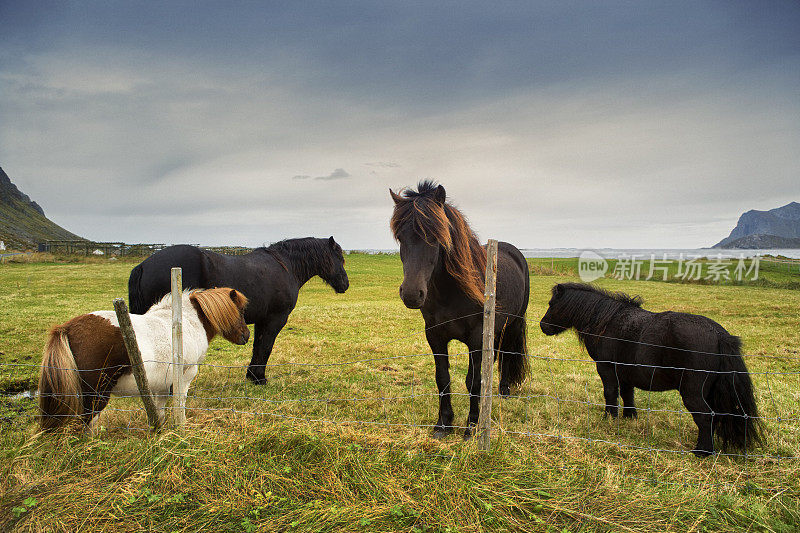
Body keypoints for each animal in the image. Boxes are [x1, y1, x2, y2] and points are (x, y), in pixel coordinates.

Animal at [37, 286, 248, 428]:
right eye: (240, 310)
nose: (246, 336)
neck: (187, 322)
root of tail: (67, 328)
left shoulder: (162, 384)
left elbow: (160, 411)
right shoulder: (184, 377)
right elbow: (180, 404)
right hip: (96, 396)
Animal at [128, 237, 346, 382]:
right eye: (340, 259)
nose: (345, 284)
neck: (286, 266)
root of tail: (143, 266)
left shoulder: (261, 320)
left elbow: (258, 346)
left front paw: (252, 376)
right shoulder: (275, 319)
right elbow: (266, 347)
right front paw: (259, 378)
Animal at [390, 181, 528, 438]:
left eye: (436, 236)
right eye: (400, 237)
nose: (412, 294)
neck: (450, 292)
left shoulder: (476, 337)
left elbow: (473, 381)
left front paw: (472, 426)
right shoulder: (435, 336)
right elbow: (443, 378)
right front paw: (443, 424)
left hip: (511, 325)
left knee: (506, 354)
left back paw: (503, 390)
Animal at [536, 282, 764, 458]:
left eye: (551, 304)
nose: (542, 326)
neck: (606, 322)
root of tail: (719, 335)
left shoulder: (606, 368)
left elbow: (610, 393)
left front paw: (609, 418)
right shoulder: (625, 372)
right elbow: (627, 394)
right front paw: (629, 417)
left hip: (692, 392)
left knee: (705, 416)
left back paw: (702, 451)